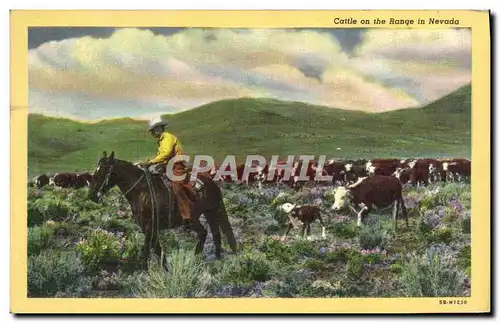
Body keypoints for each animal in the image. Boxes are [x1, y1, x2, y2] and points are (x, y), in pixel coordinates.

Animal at [87, 152, 237, 270]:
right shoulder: (147, 227)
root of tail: (210, 182)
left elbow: (147, 248)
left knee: (204, 233)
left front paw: (145, 271)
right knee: (215, 234)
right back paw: (215, 259)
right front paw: (165, 269)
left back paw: (196, 258)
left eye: (102, 172)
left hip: (198, 217)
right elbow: (157, 248)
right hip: (209, 212)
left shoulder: (149, 225)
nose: (92, 195)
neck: (141, 191)